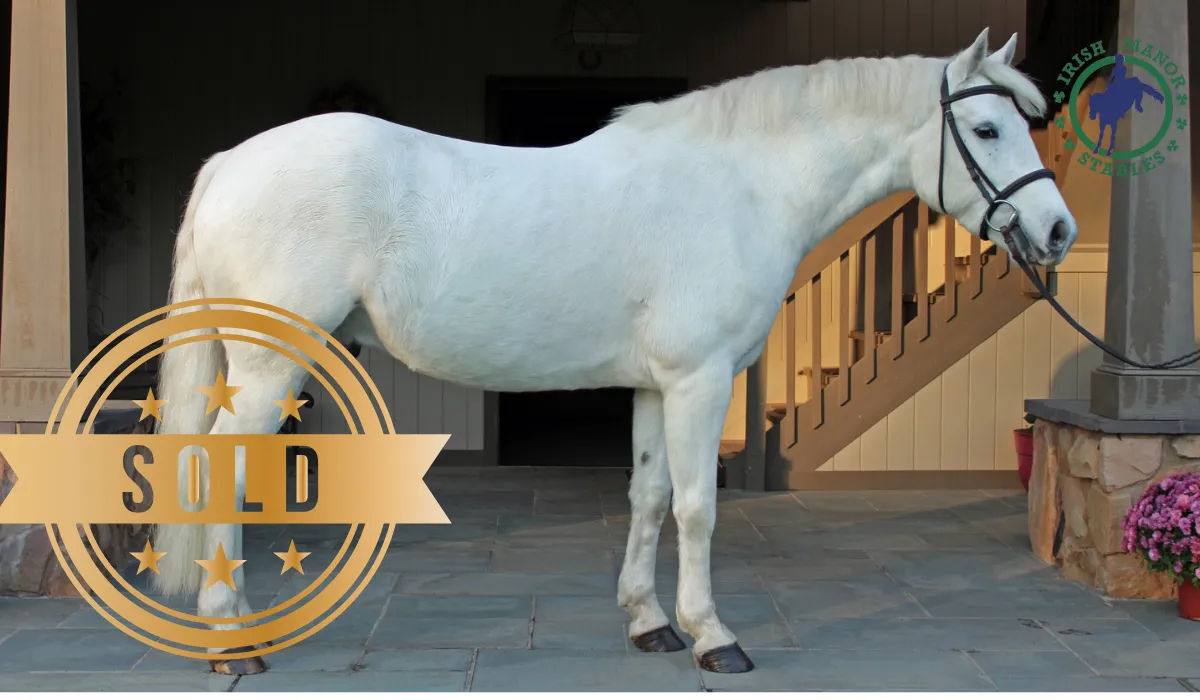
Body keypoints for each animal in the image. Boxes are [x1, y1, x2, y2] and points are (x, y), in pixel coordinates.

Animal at [152, 28, 1077, 675]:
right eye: (986, 129)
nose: (1059, 230)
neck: (738, 186)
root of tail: (230, 162)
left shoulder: (657, 386)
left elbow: (650, 498)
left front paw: (650, 622)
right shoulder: (702, 381)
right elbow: (699, 508)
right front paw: (714, 637)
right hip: (271, 369)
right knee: (223, 473)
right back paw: (233, 643)